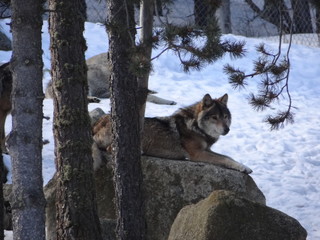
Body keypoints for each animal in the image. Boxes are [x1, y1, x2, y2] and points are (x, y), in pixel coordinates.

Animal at [90, 93, 252, 173]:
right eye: (214, 117)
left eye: (225, 116)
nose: (227, 129)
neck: (196, 127)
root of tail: (97, 123)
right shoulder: (197, 154)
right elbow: (224, 159)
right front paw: (244, 168)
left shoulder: (206, 150)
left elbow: (228, 156)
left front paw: (245, 166)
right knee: (110, 149)